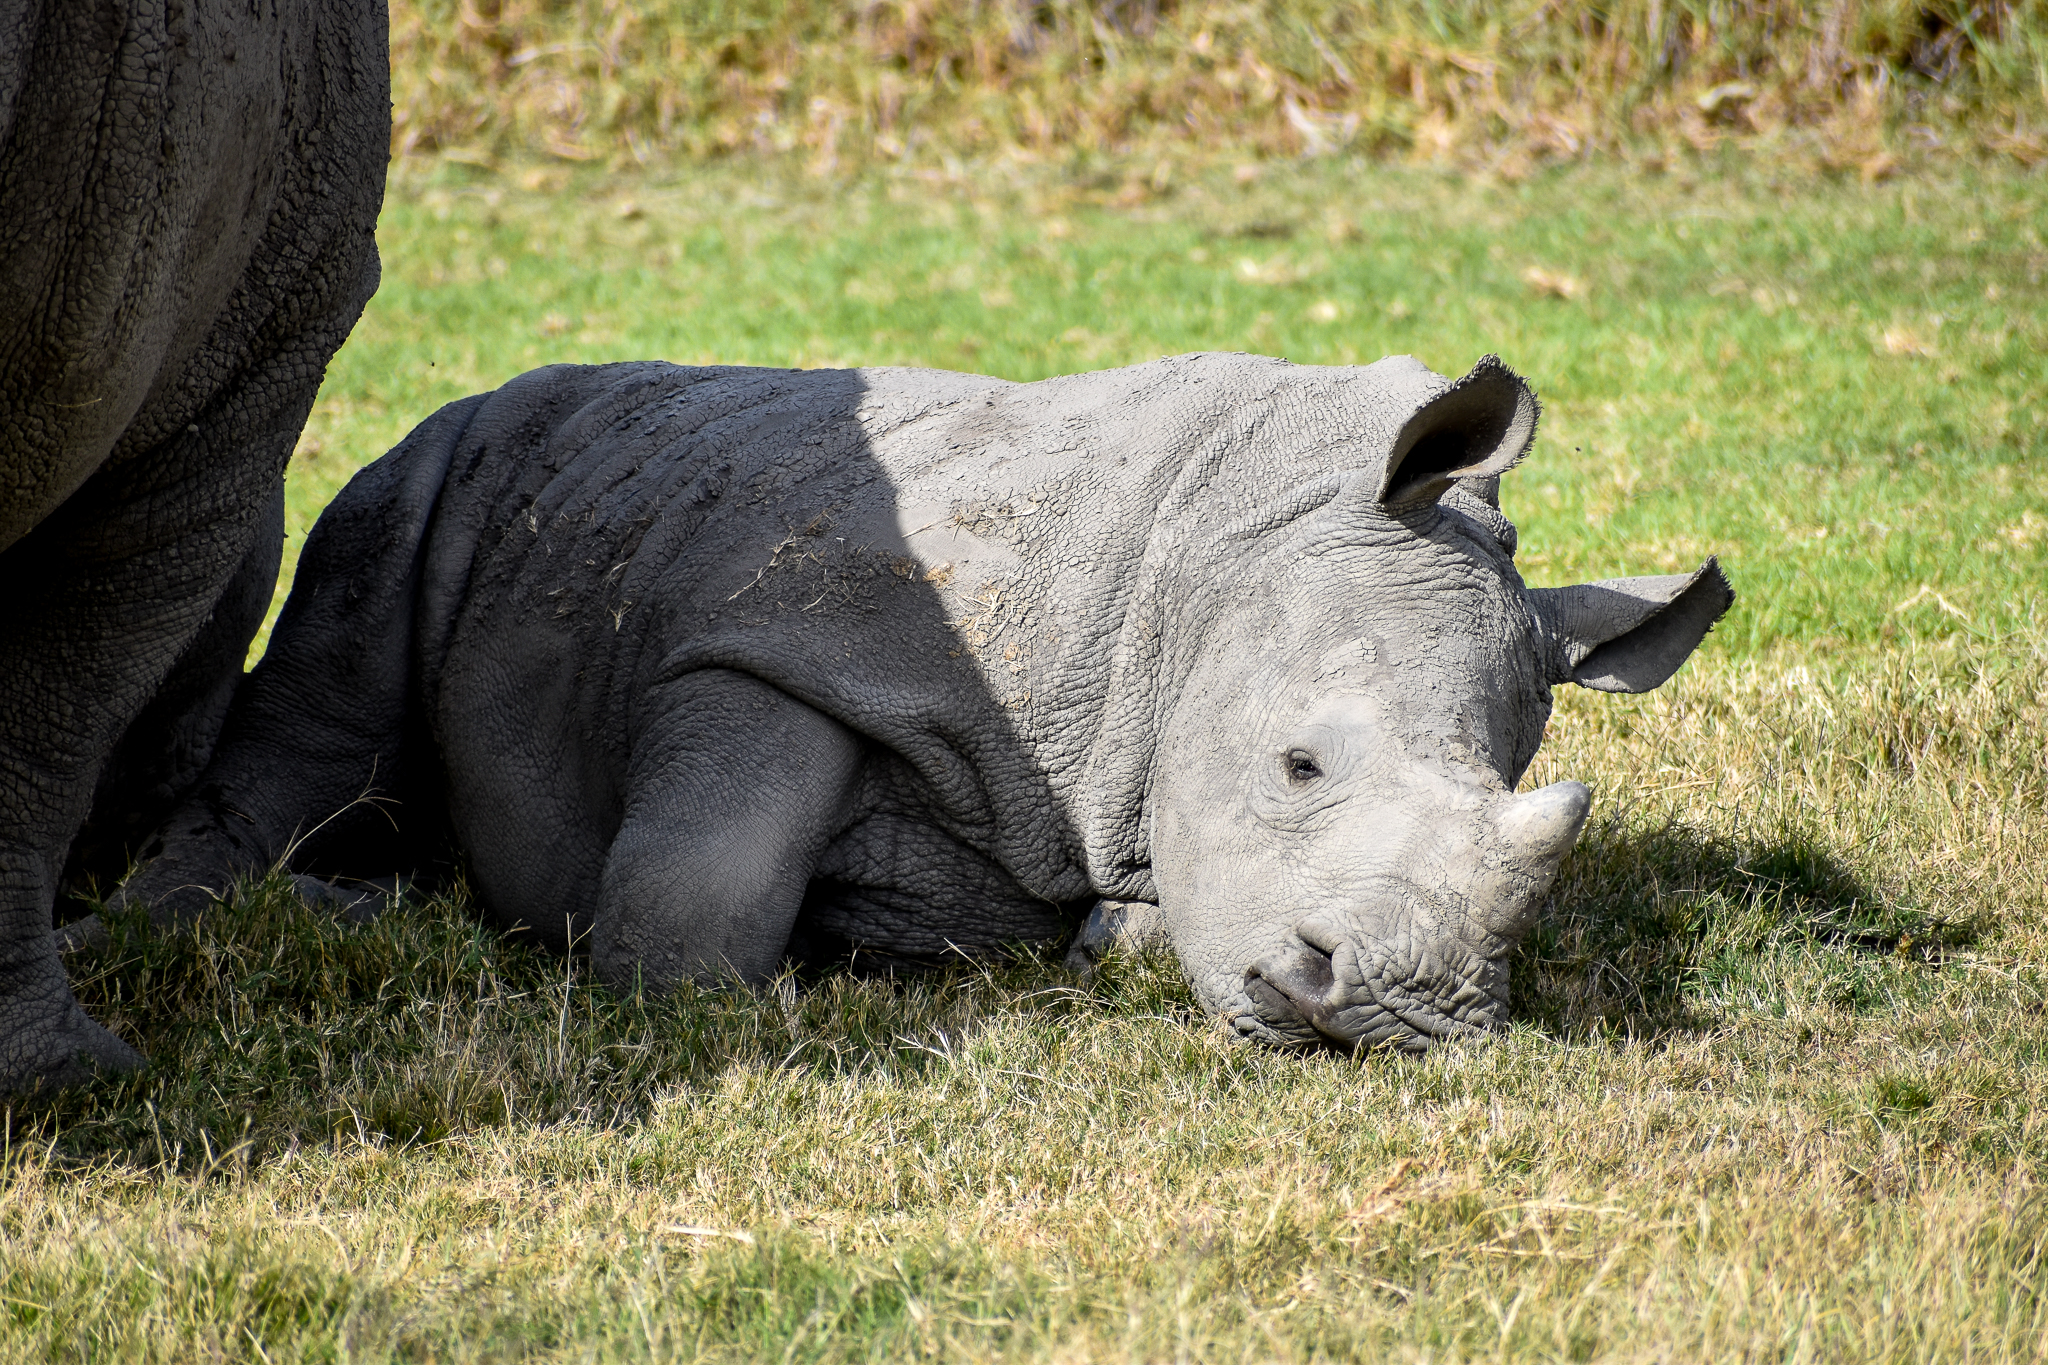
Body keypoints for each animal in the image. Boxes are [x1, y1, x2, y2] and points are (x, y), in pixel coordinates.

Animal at [103, 352, 1731, 1055]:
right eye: (1296, 766)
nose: (1398, 1014)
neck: (1231, 543)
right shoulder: (779, 642)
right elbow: (708, 872)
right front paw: (716, 1002)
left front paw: (1095, 943)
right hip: (424, 471)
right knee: (329, 689)